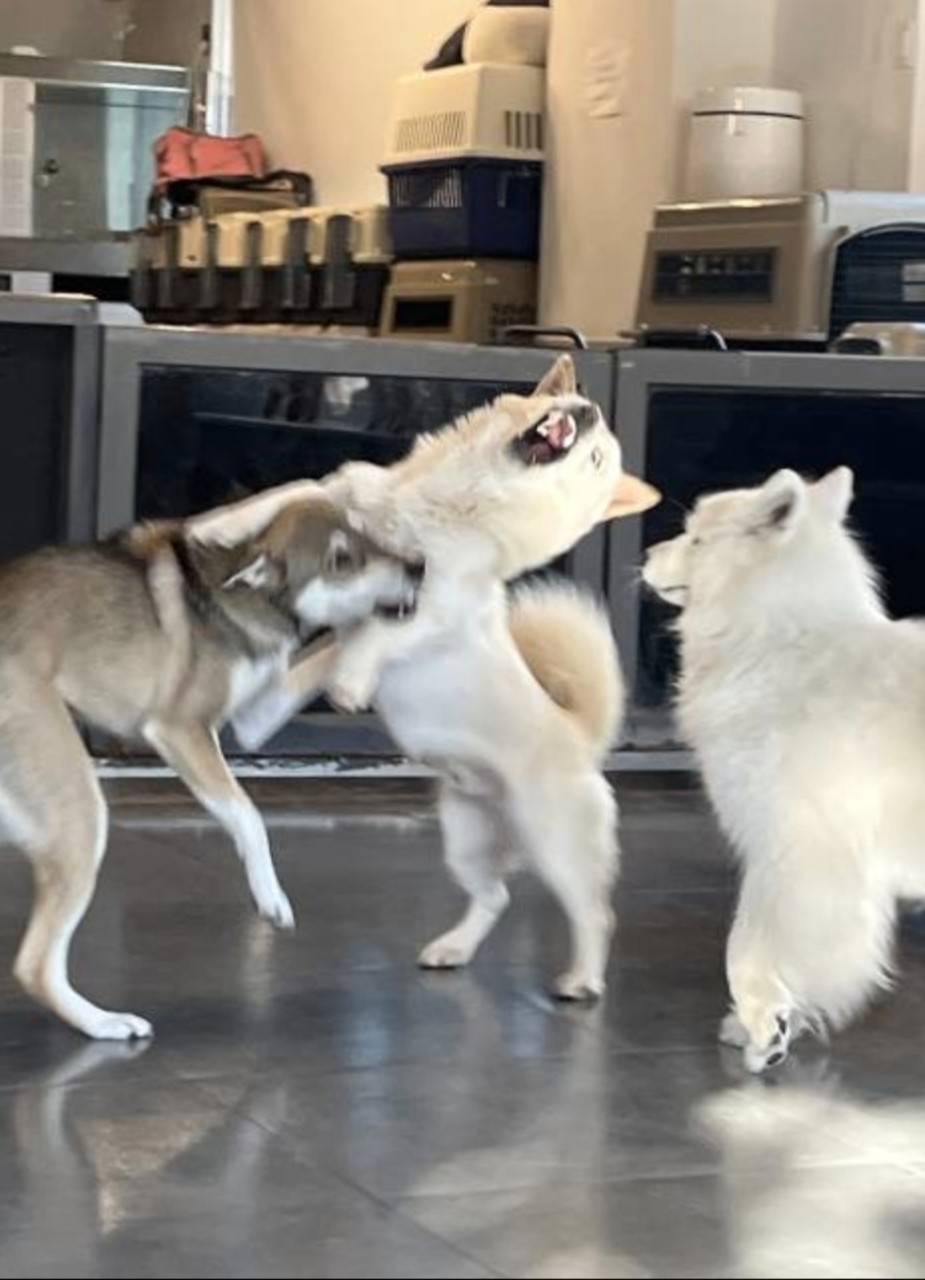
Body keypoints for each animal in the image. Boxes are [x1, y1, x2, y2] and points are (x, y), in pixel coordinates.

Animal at [0, 496, 417, 1039]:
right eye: (341, 560)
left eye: (369, 533)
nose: (419, 567)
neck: (242, 601)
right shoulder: (182, 730)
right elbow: (247, 815)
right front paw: (269, 894)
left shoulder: (256, 716)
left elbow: (332, 646)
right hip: (79, 812)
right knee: (35, 966)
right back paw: (104, 1023)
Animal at [188, 355, 661, 998]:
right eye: (573, 410)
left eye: (595, 460)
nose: (584, 411)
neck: (469, 500)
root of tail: (580, 736)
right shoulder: (343, 494)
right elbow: (296, 490)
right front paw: (219, 524)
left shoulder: (438, 605)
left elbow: (387, 631)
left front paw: (352, 679)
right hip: (465, 838)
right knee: (495, 895)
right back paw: (452, 949)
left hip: (555, 843)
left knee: (594, 912)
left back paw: (582, 978)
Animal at [642, 465, 925, 1070]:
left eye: (696, 540)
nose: (649, 552)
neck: (779, 643)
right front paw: (768, 1022)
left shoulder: (801, 852)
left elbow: (746, 944)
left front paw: (763, 1028)